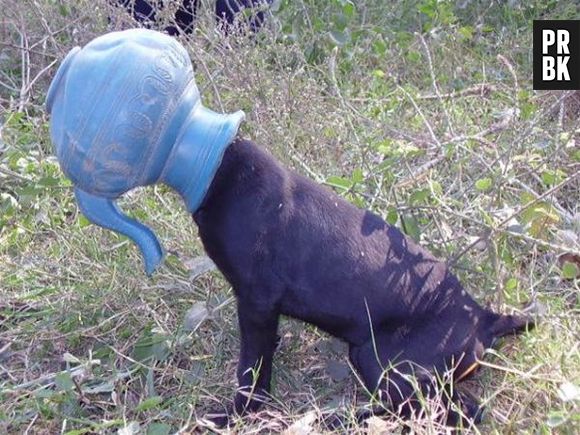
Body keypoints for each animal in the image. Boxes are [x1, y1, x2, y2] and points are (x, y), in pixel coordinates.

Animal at [193, 138, 532, 428]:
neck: (224, 171)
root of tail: (486, 318)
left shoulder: (257, 301)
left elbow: (252, 371)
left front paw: (235, 416)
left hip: (384, 364)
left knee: (457, 411)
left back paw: (338, 420)